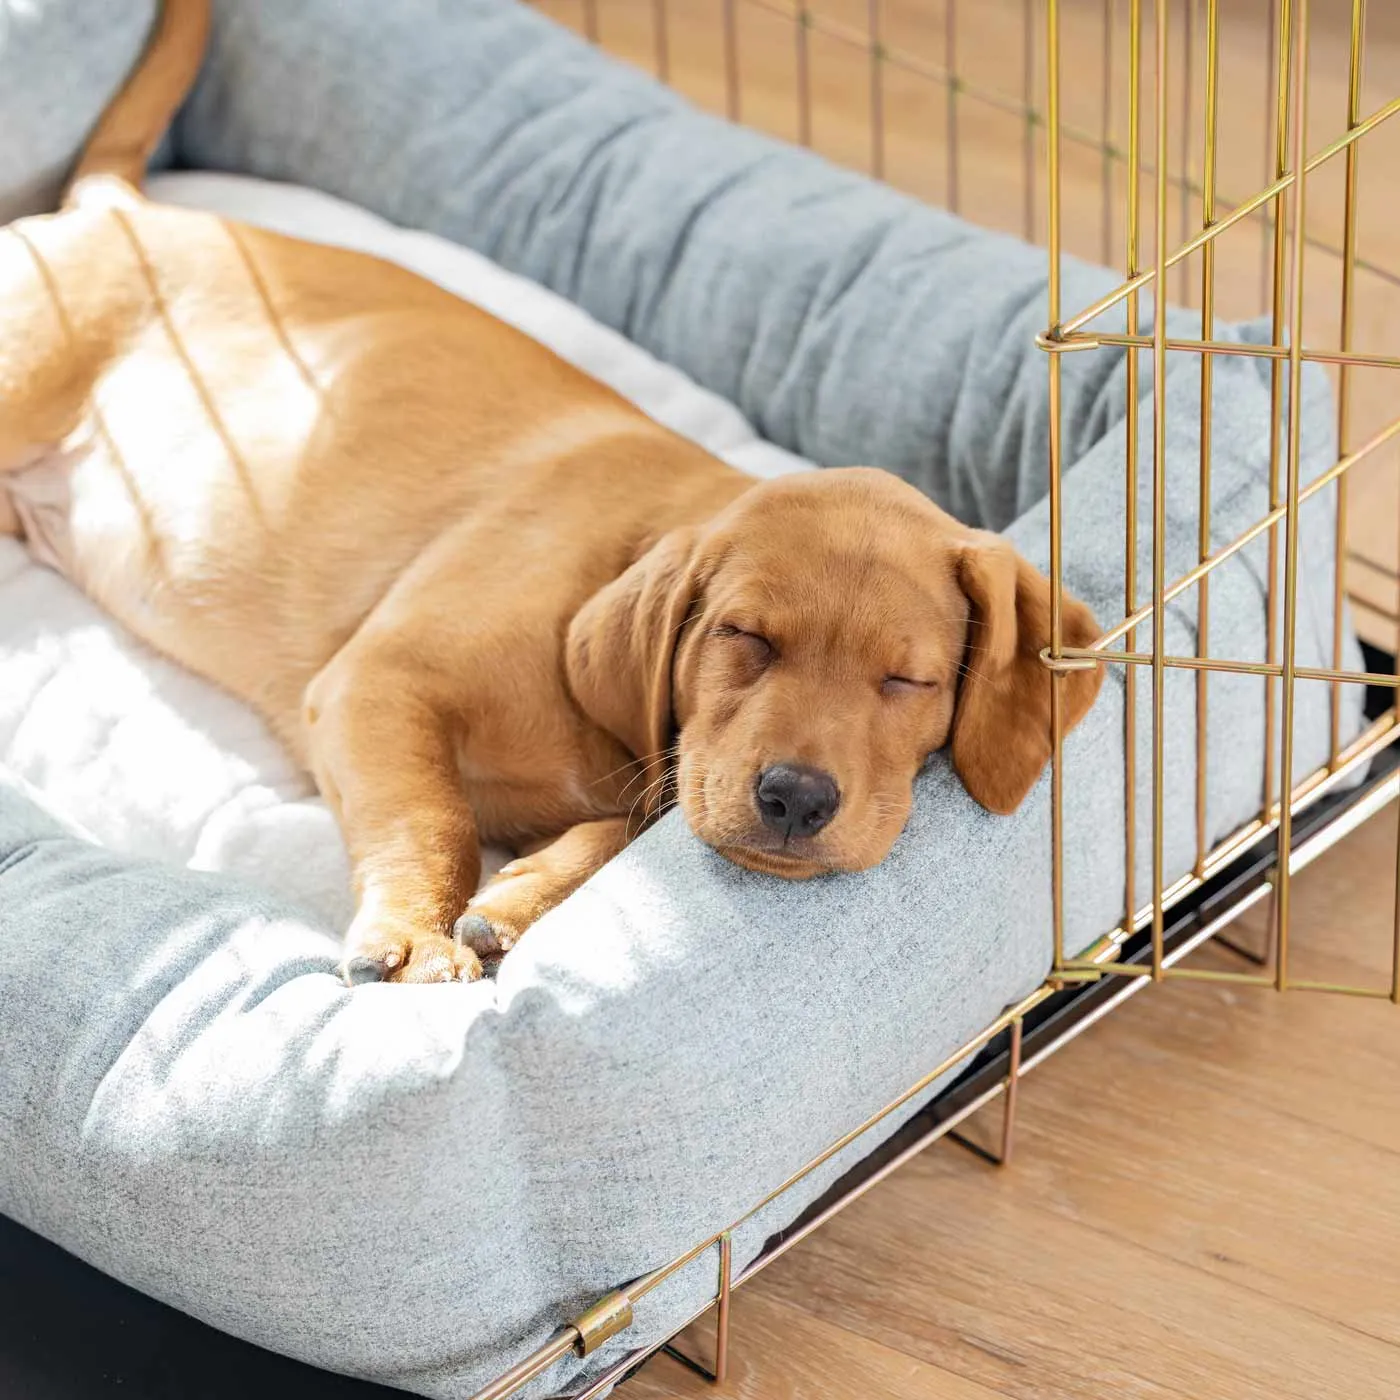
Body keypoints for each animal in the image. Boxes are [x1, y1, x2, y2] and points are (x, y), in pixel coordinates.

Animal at [2, 0, 1103, 985]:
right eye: (743, 636)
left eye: (910, 681)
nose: (795, 799)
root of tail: (121, 209)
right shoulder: (376, 682)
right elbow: (434, 816)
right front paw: (416, 930)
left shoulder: (643, 784)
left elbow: (628, 828)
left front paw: (524, 896)